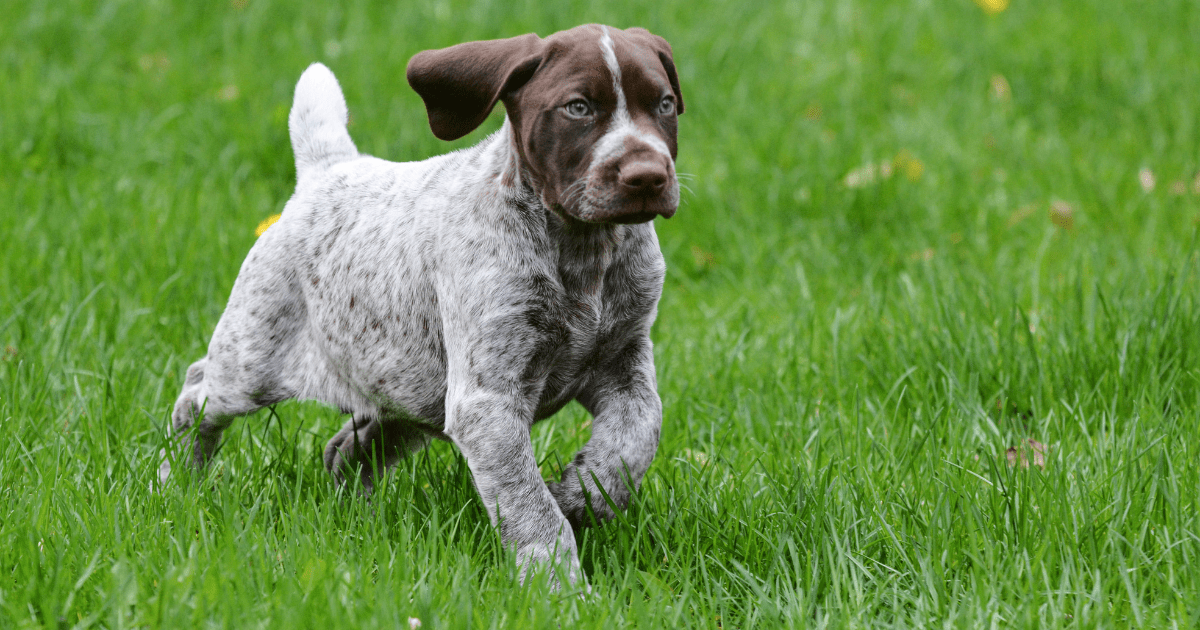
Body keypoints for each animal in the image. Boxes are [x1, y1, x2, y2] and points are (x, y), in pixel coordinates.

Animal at [159, 23, 686, 585]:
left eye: (664, 104)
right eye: (579, 108)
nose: (647, 175)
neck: (586, 249)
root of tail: (328, 172)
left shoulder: (622, 365)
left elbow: (637, 435)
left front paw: (582, 494)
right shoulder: (487, 402)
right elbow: (528, 505)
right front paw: (557, 584)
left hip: (410, 389)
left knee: (345, 449)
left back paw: (358, 519)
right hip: (252, 361)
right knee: (197, 394)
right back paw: (174, 480)